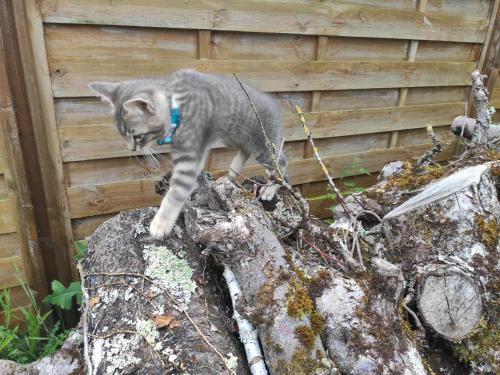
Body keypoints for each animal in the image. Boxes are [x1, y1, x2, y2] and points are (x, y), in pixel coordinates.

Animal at [88, 70, 288, 239]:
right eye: (122, 135)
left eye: (136, 136)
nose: (132, 149)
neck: (178, 106)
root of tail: (274, 103)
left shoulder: (190, 156)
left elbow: (177, 190)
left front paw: (162, 223)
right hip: (236, 136)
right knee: (245, 151)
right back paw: (231, 173)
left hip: (263, 145)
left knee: (281, 163)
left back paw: (271, 188)